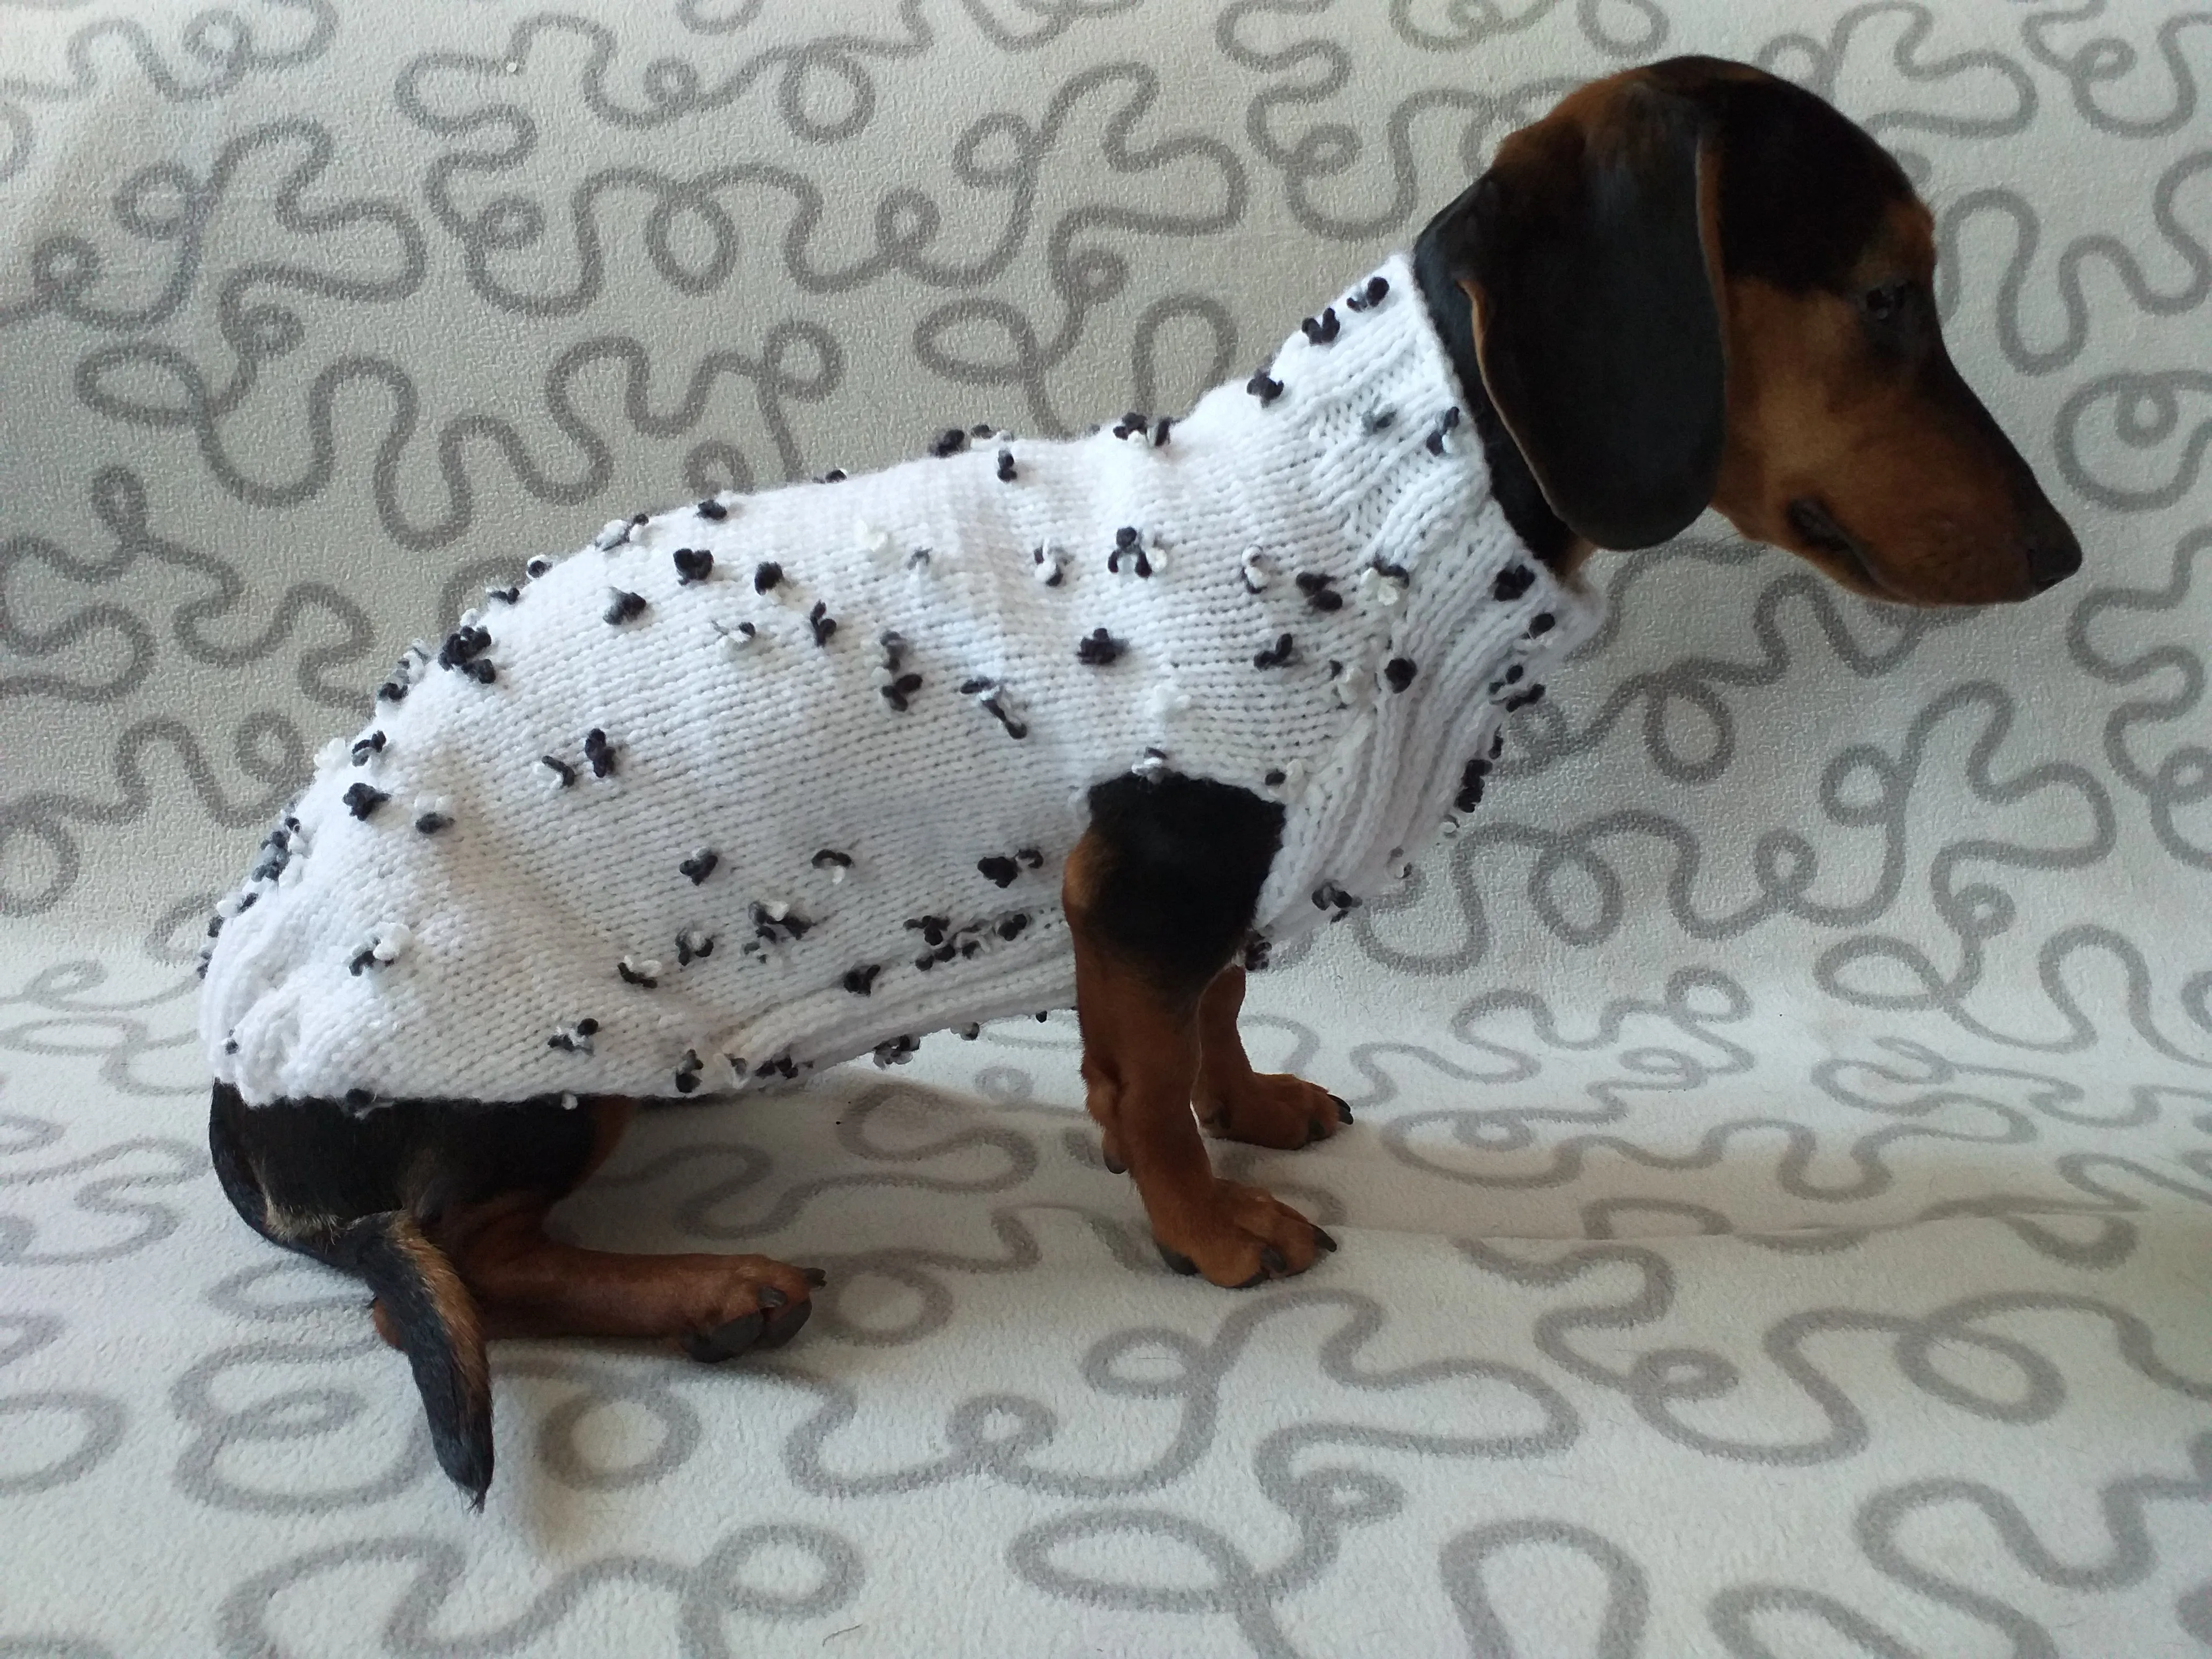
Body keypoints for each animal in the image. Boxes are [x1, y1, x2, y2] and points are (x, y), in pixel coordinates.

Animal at [203, 58, 2070, 1504]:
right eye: (1885, 296)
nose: (2060, 556)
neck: (1370, 506)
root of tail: (237, 1082)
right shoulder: (1151, 869)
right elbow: (1144, 1071)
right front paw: (1207, 1221)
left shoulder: (1223, 881)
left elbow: (1215, 1010)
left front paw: (1251, 1107)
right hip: (525, 1083)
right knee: (436, 1276)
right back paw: (713, 1293)